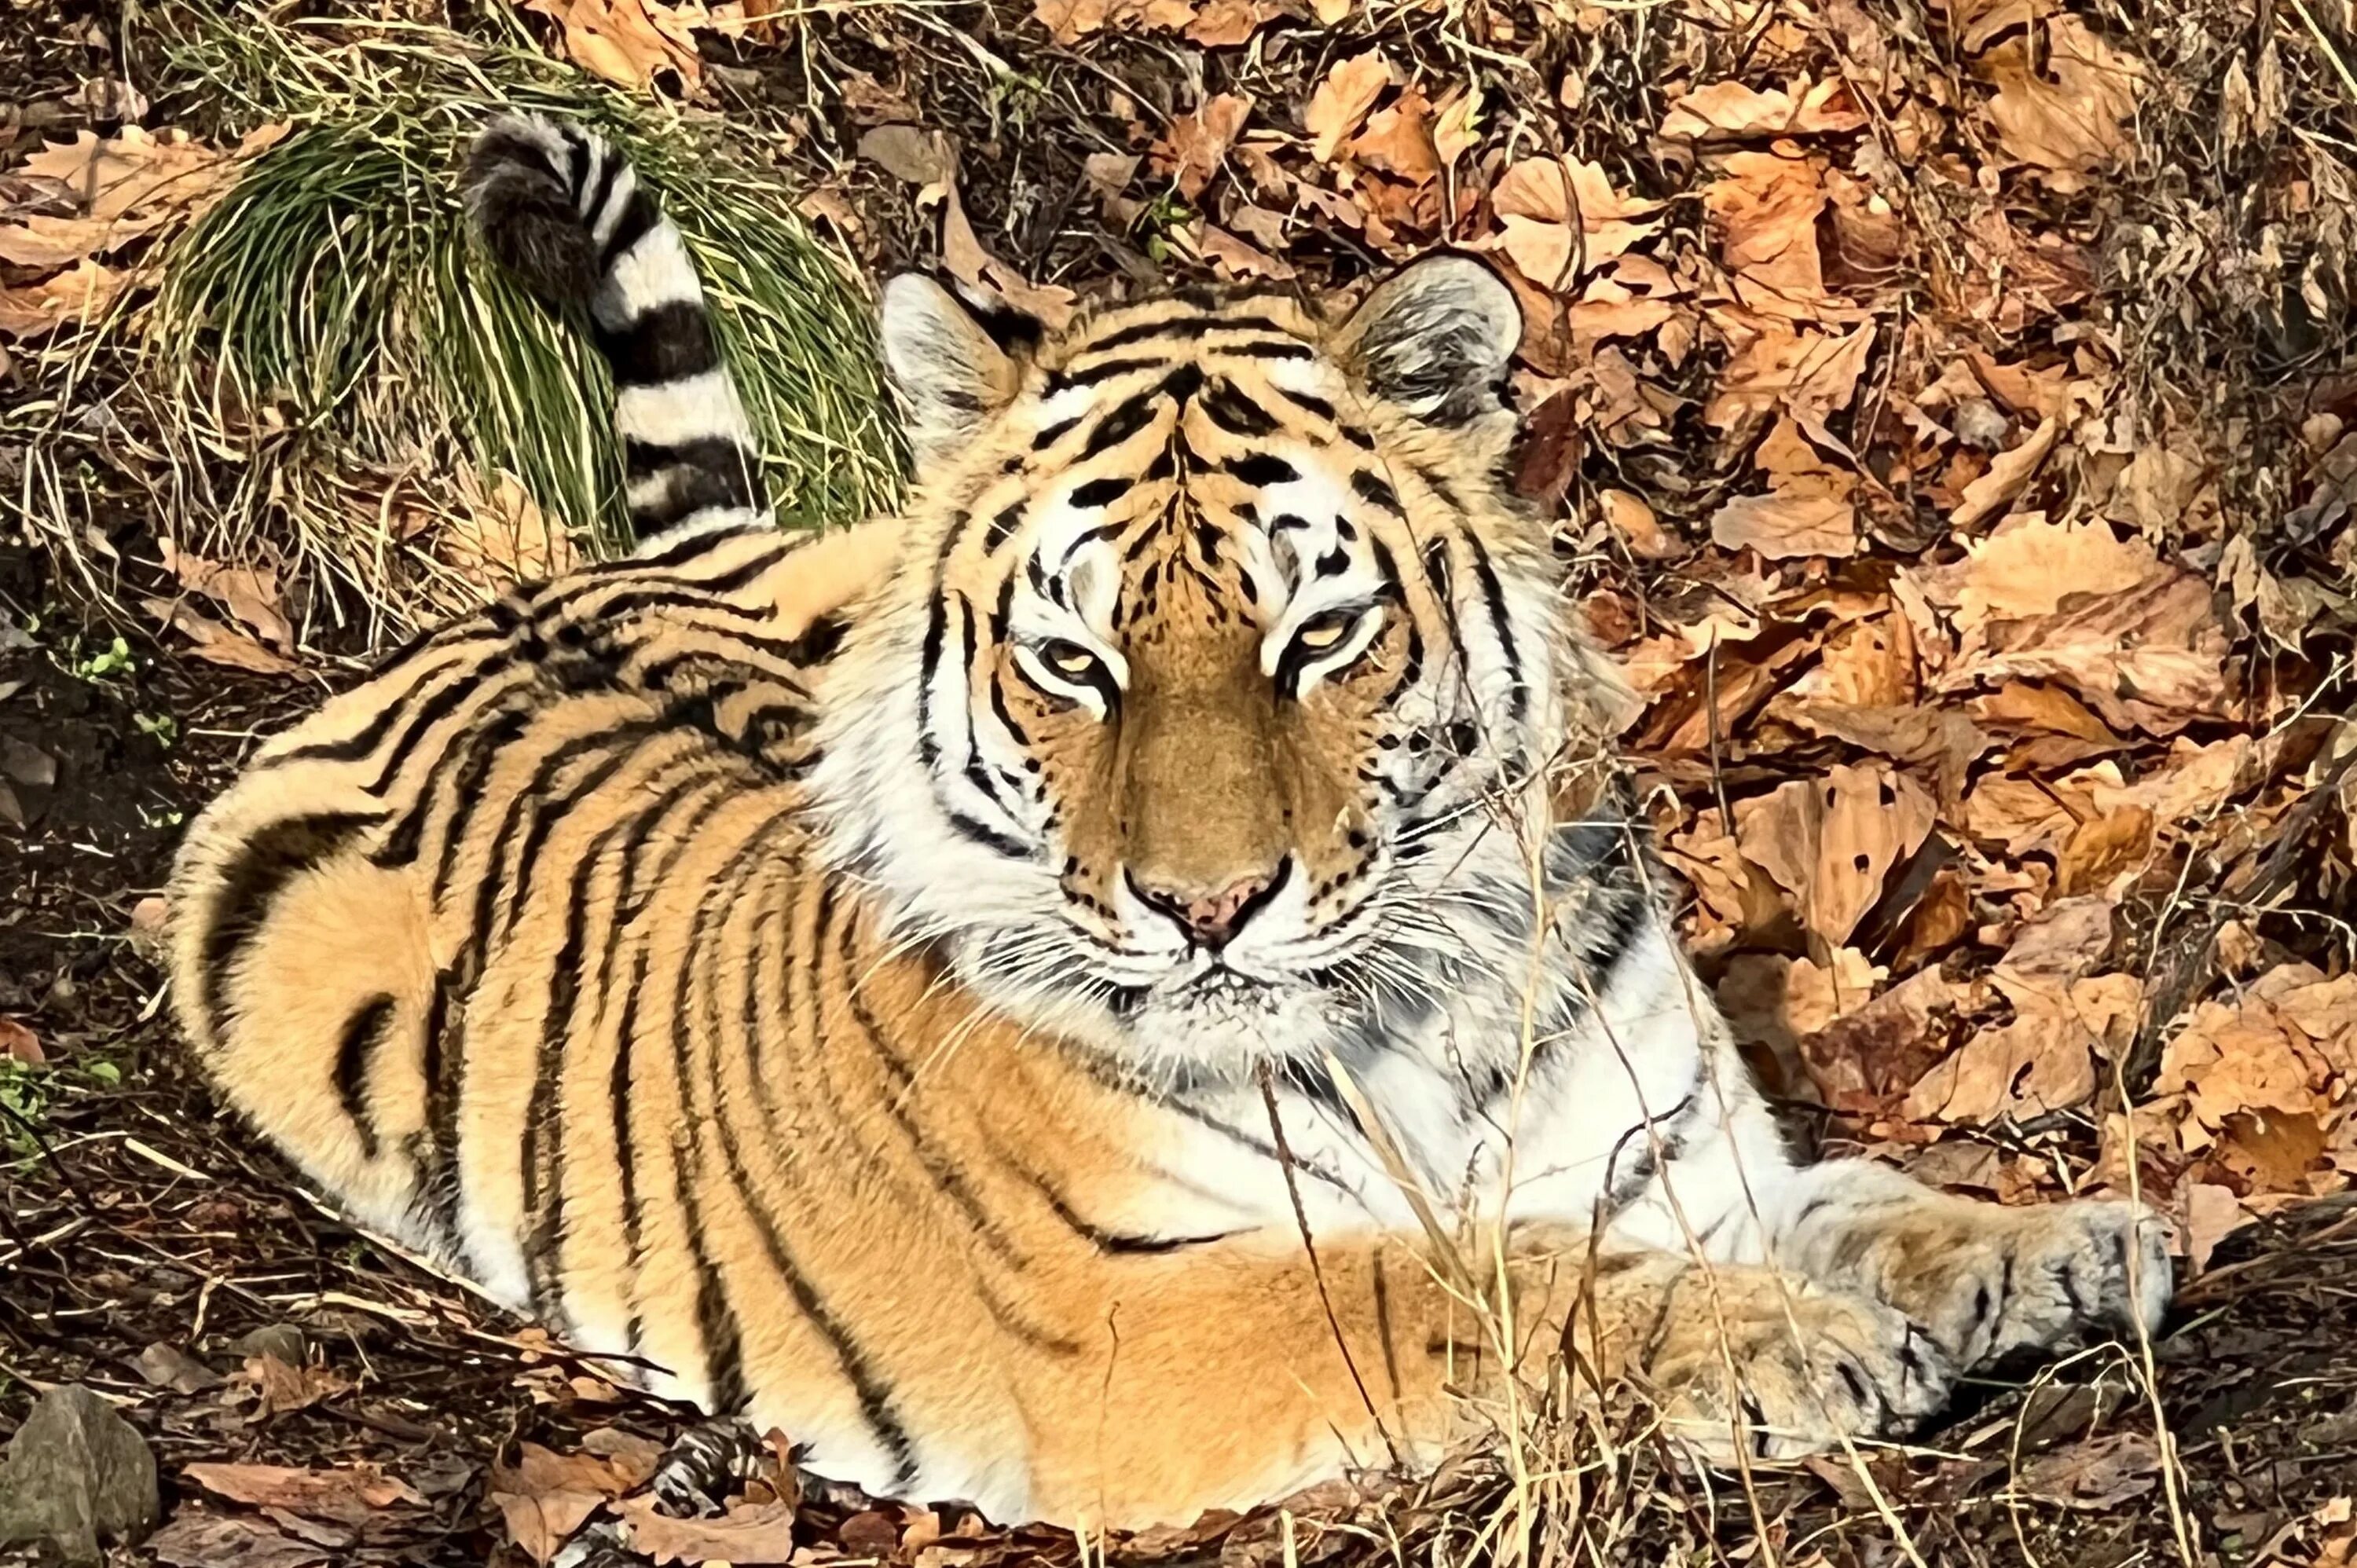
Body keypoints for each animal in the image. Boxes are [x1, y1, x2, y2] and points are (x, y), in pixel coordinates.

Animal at [170, 113, 2168, 1527]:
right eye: (1074, 660)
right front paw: (1798, 1347)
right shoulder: (1136, 1315)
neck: (1423, 1003)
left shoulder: (1684, 1163)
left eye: (1315, 637)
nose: (1206, 908)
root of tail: (554, 589)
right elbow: (1478, 1287)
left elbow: (1864, 1204)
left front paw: (2065, 1244)